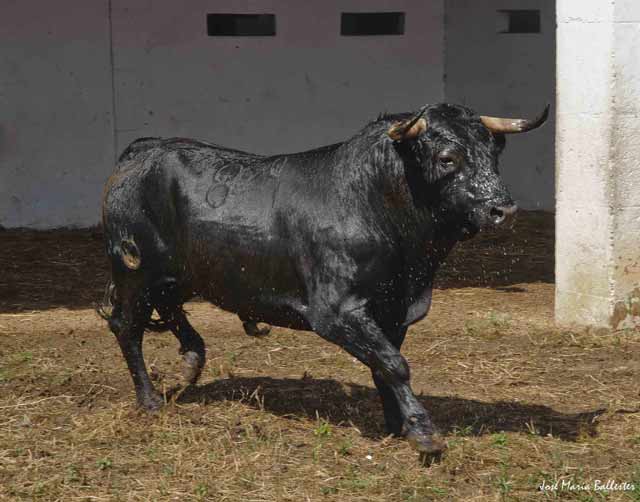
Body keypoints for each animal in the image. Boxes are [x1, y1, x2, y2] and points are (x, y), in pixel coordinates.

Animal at [101, 104, 552, 456]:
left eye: (494, 153)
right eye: (447, 158)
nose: (503, 209)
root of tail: (144, 149)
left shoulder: (393, 310)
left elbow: (383, 364)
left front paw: (397, 423)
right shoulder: (336, 310)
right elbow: (394, 363)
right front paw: (424, 433)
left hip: (177, 274)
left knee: (169, 309)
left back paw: (191, 364)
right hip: (135, 273)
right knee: (127, 327)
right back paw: (150, 399)